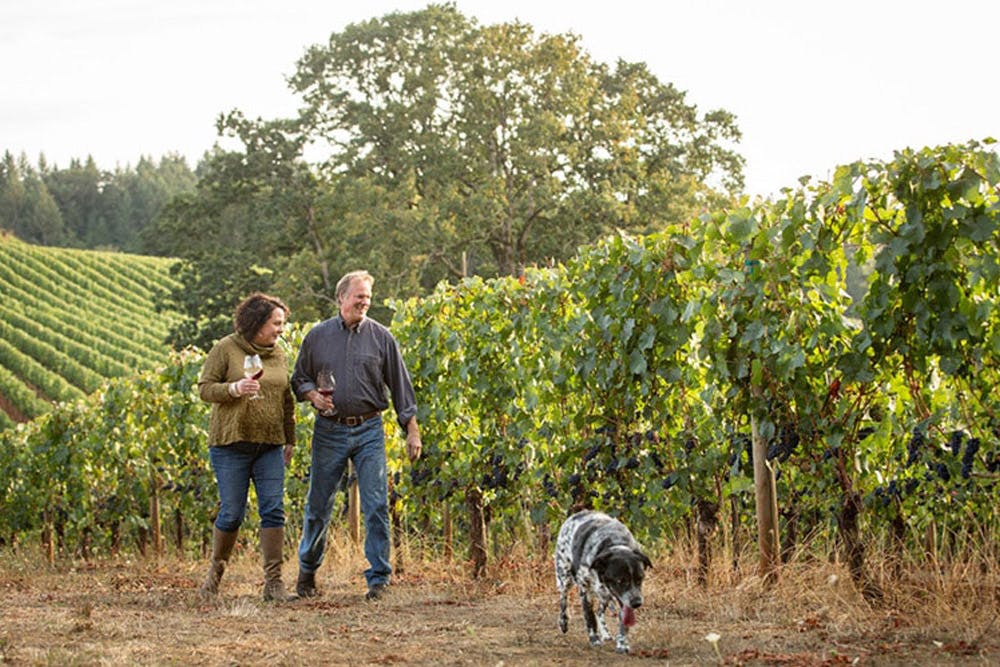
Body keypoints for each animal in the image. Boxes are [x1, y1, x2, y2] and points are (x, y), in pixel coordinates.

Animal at [552, 512, 652, 652]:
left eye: (640, 579)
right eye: (620, 580)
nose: (637, 603)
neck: (614, 544)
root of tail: (579, 513)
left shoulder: (624, 599)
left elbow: (622, 620)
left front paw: (622, 643)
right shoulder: (585, 590)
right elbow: (589, 616)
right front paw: (594, 639)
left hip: (604, 595)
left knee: (599, 611)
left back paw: (605, 633)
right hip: (564, 576)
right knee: (563, 599)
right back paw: (563, 622)